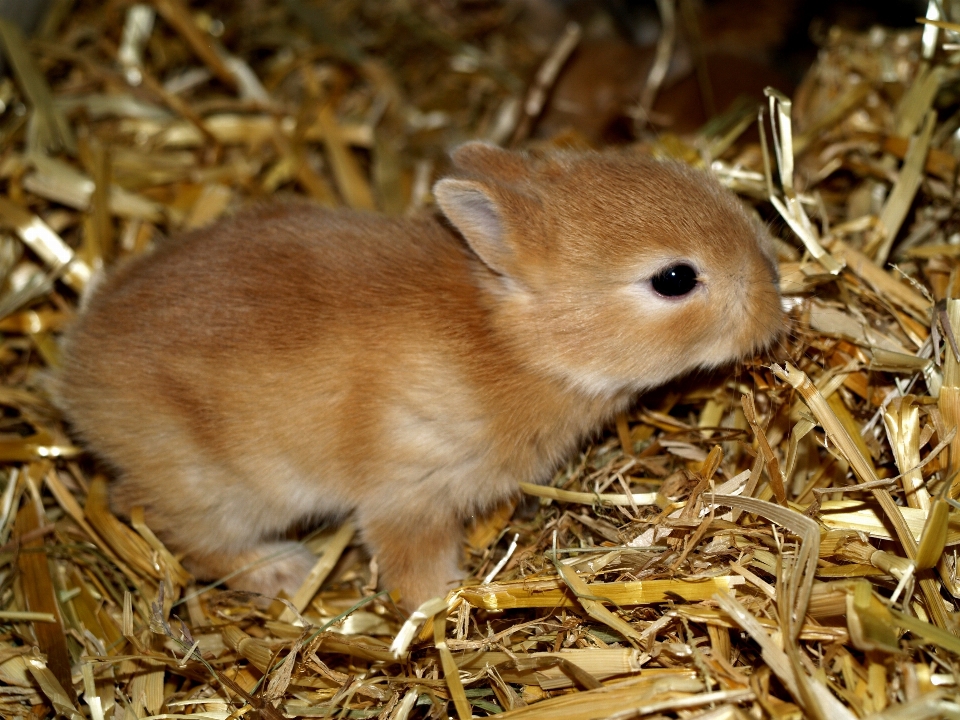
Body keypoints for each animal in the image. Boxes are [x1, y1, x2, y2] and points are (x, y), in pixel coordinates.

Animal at [52, 141, 784, 608]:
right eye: (674, 279)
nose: (774, 307)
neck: (514, 339)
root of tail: (77, 379)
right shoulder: (411, 487)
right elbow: (412, 561)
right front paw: (446, 601)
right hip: (217, 487)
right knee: (175, 530)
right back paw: (286, 572)